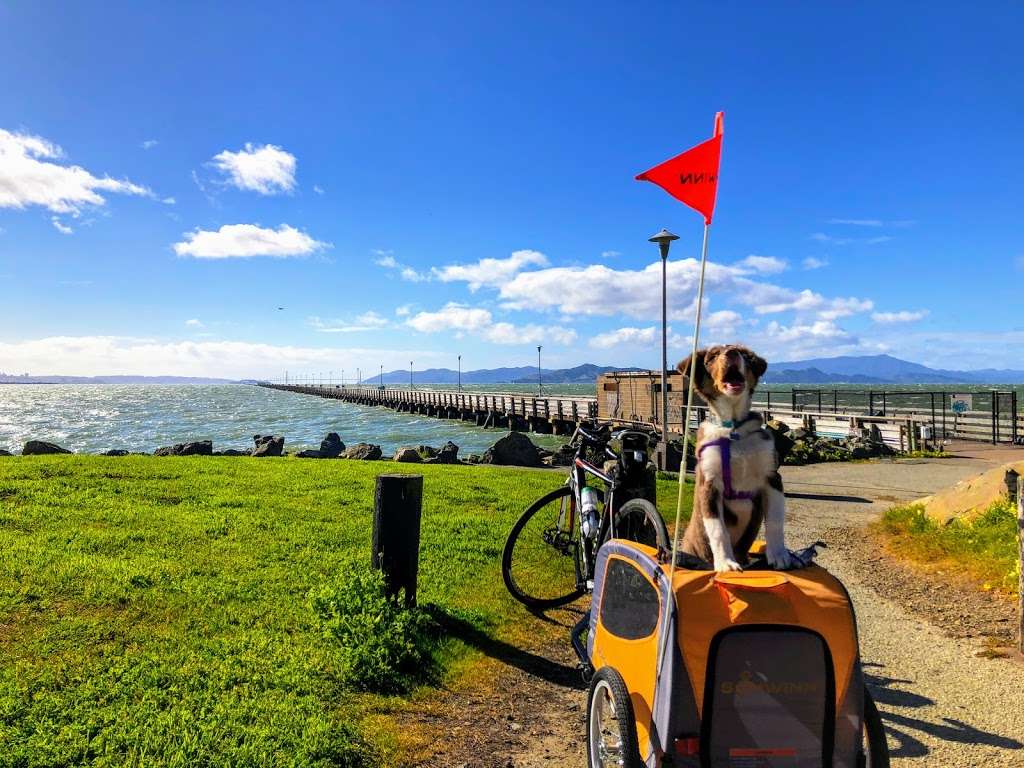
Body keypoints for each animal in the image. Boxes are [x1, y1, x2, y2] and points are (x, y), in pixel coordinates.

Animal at [675, 346, 794, 573]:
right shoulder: (709, 483)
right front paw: (725, 563)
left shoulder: (772, 477)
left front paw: (779, 555)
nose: (731, 353)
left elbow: (775, 521)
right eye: (712, 357)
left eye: (744, 354)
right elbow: (717, 529)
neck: (733, 429)